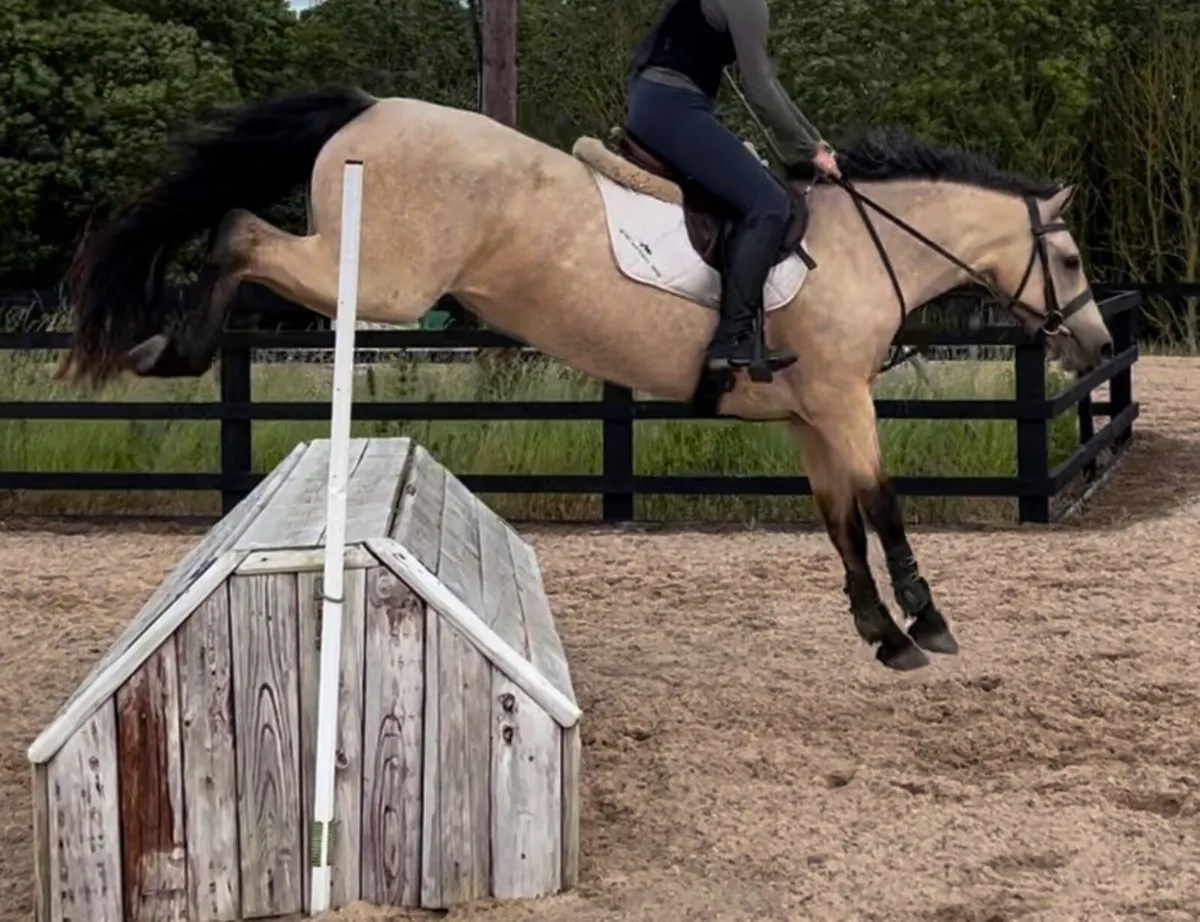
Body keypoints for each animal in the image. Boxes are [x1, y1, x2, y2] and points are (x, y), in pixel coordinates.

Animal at [59, 86, 1114, 671]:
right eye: (1069, 261)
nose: (1096, 347)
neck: (868, 244)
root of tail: (371, 106)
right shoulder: (844, 402)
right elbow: (885, 505)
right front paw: (926, 623)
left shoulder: (810, 416)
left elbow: (842, 521)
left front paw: (880, 633)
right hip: (383, 279)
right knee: (240, 230)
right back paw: (173, 348)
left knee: (238, 230)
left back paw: (164, 349)